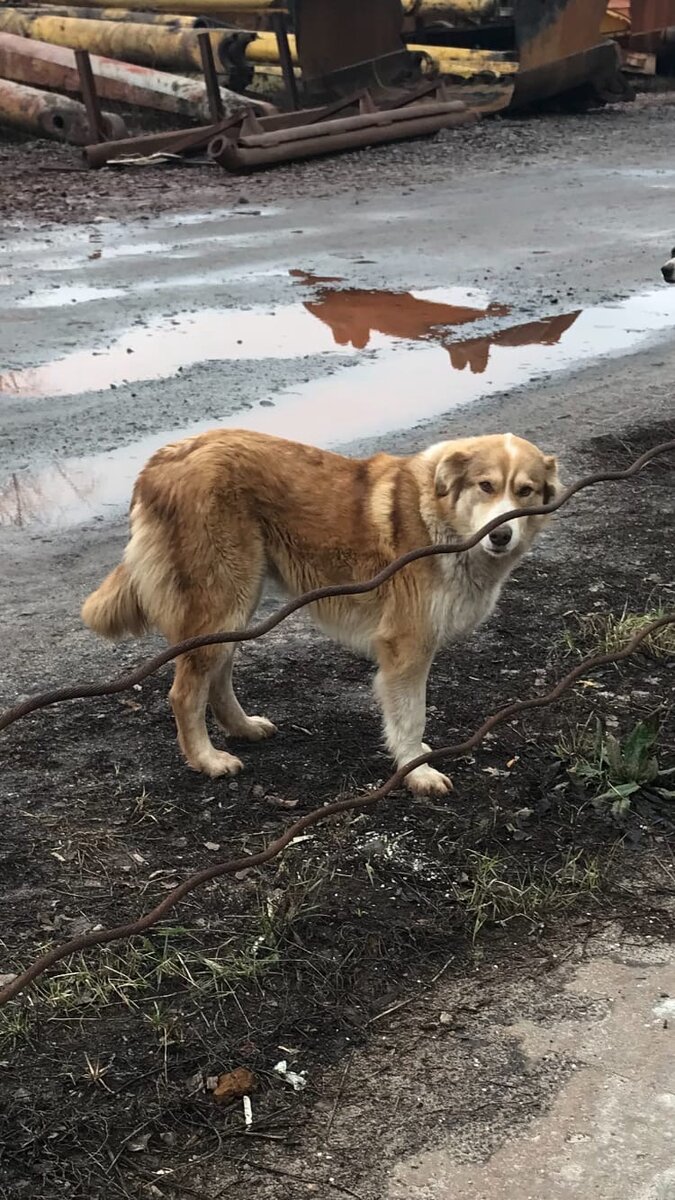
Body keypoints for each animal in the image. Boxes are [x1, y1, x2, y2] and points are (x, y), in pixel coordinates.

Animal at [81, 432, 557, 796]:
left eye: (525, 491)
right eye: (485, 486)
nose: (501, 534)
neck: (441, 522)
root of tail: (163, 459)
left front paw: (417, 757)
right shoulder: (407, 646)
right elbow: (411, 716)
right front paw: (415, 771)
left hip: (236, 605)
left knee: (216, 677)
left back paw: (242, 727)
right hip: (223, 603)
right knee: (185, 693)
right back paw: (207, 759)